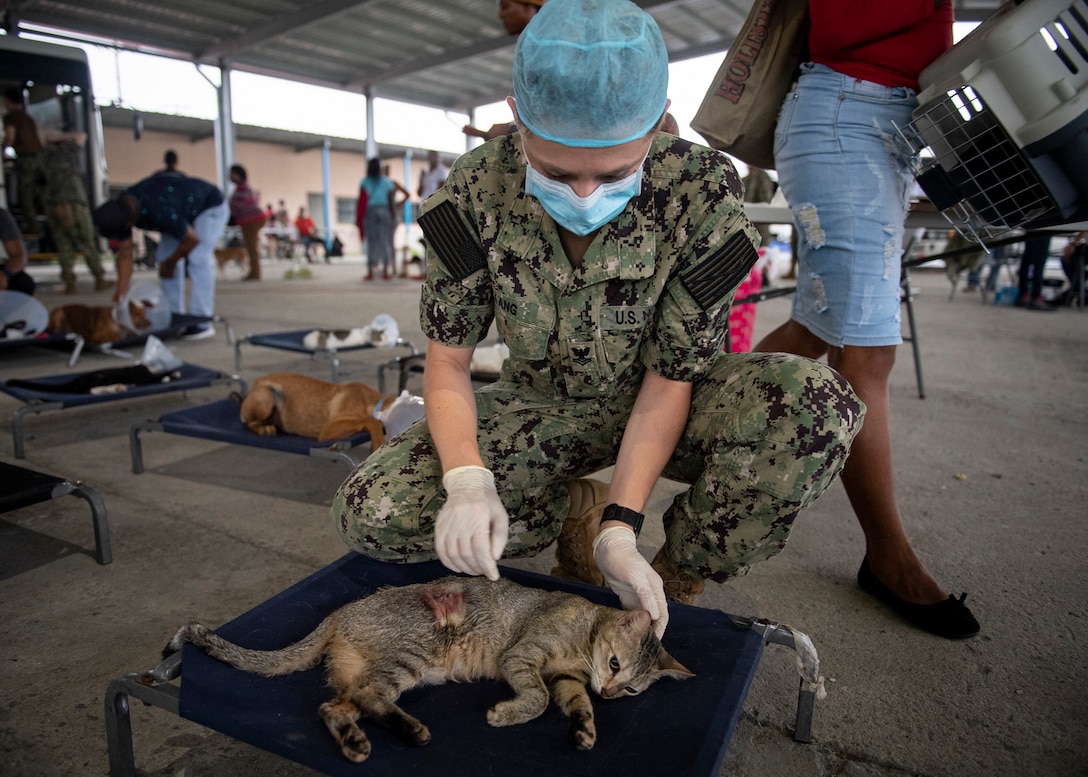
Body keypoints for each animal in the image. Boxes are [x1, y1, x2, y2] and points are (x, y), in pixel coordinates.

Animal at [169, 574, 696, 757]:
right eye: (614, 663)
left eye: (631, 690)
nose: (611, 693)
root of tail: (339, 614)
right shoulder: (522, 657)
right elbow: (539, 698)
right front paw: (509, 713)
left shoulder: (568, 679)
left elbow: (572, 702)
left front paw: (586, 729)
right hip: (413, 655)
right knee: (364, 696)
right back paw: (410, 730)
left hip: (369, 675)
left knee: (335, 707)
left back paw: (362, 740)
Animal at [236, 370, 398, 444]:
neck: (368, 400)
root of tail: (256, 382)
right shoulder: (328, 431)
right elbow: (370, 421)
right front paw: (377, 443)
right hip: (266, 396)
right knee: (249, 422)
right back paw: (264, 428)